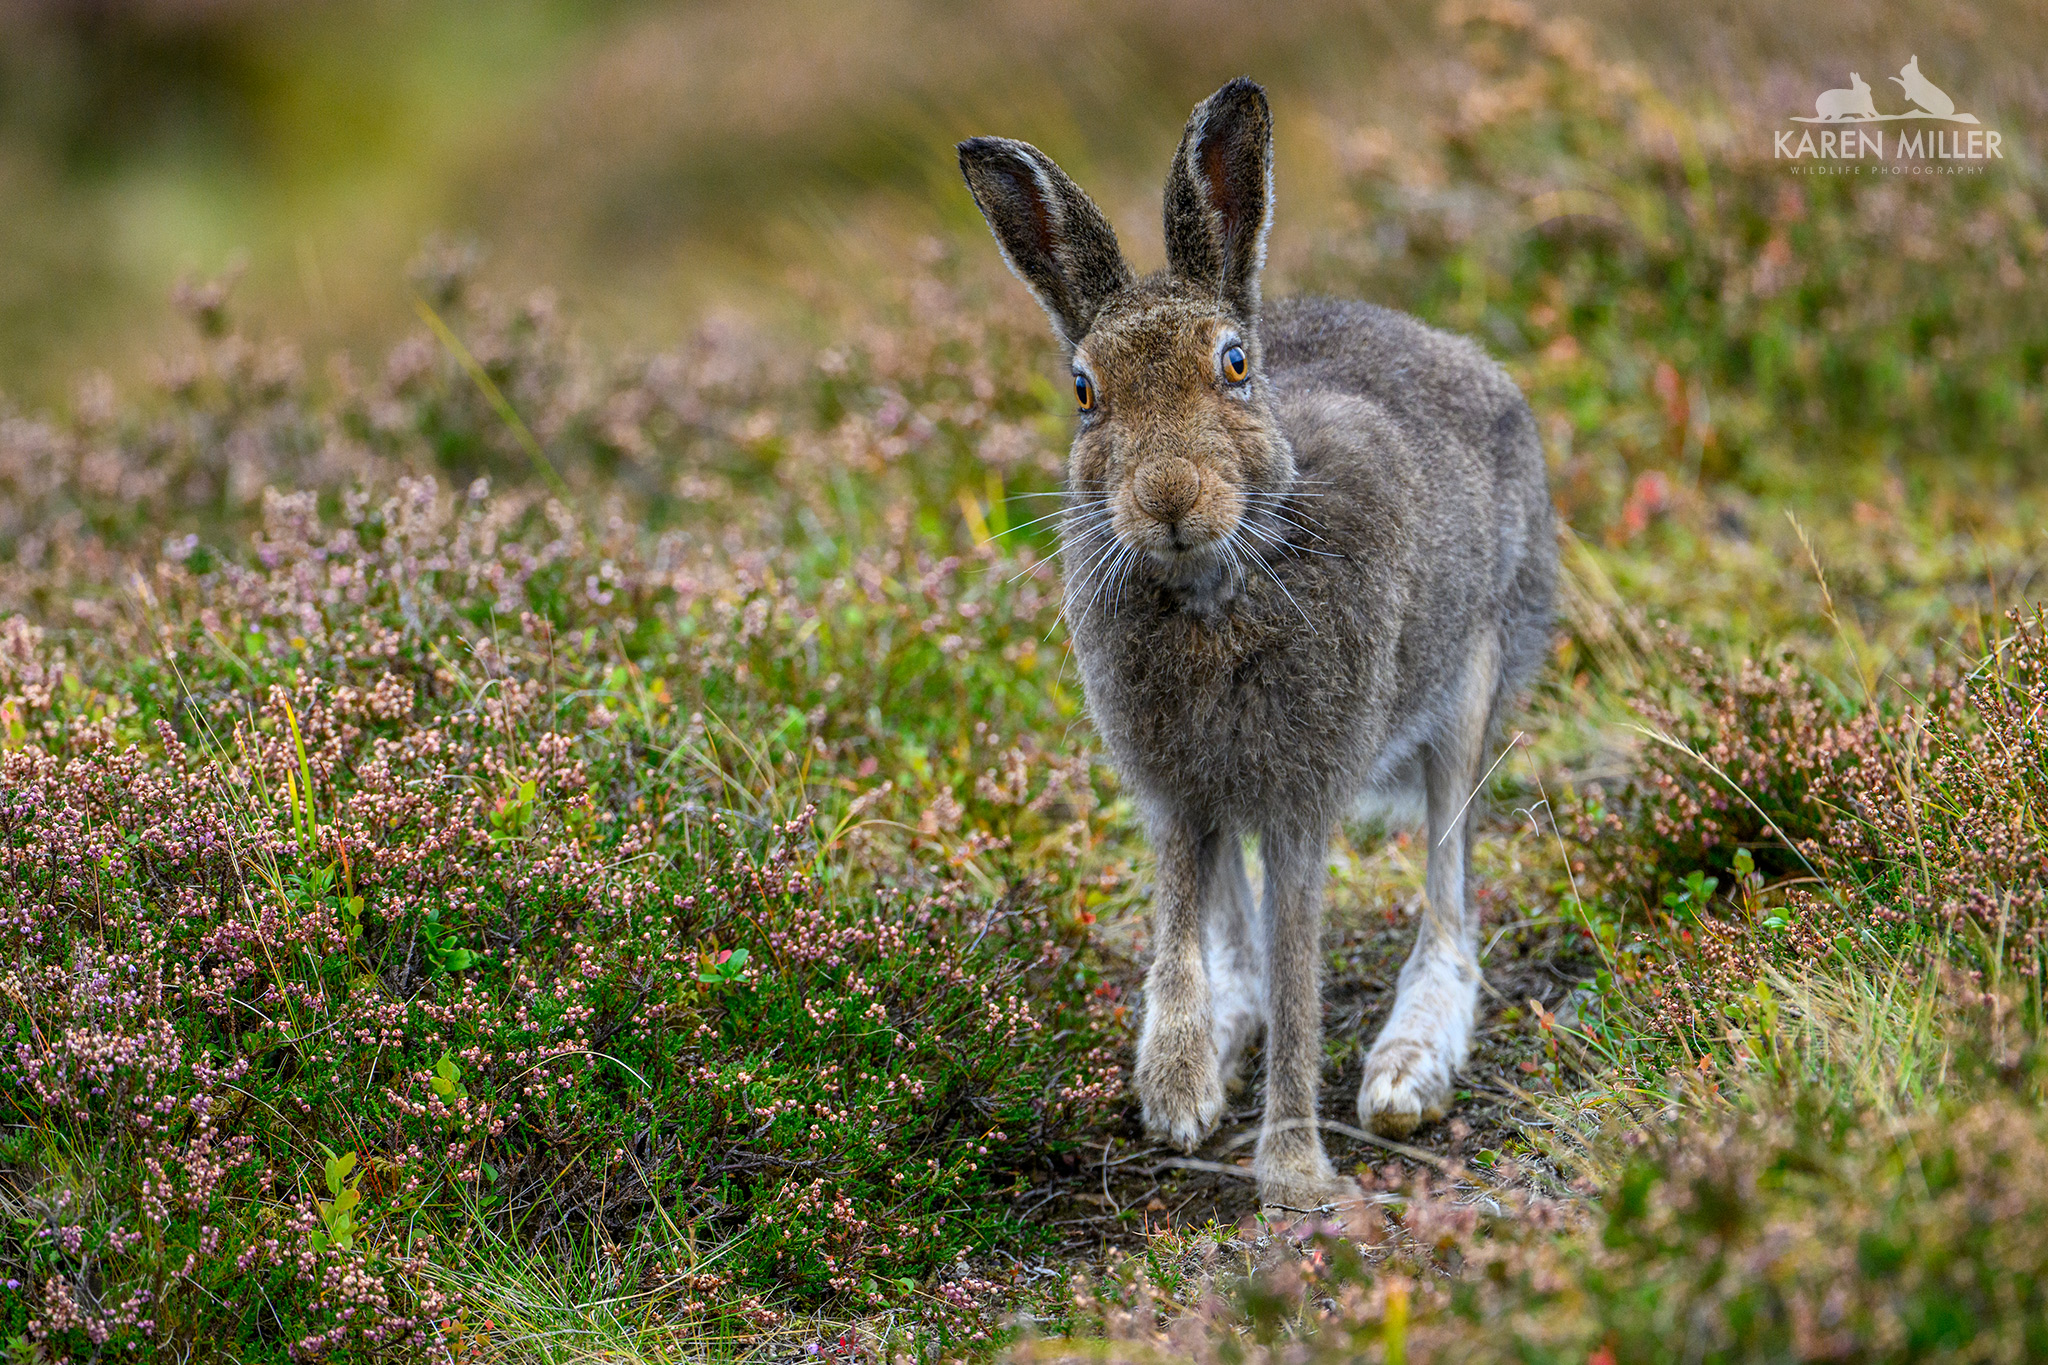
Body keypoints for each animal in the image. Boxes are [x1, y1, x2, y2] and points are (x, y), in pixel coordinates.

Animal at [958, 76, 1555, 1211]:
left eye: (1232, 365)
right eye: (1084, 392)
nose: (1168, 496)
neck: (1210, 587)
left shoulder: (1298, 797)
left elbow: (1297, 967)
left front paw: (1291, 1173)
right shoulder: (1172, 784)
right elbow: (1183, 931)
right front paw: (1177, 1086)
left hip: (1472, 680)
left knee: (1448, 901)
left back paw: (1405, 1071)